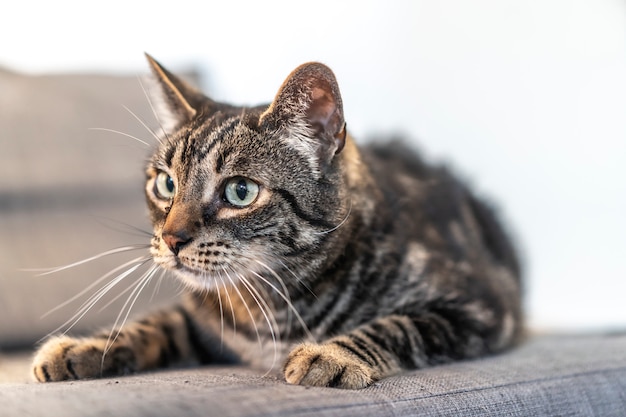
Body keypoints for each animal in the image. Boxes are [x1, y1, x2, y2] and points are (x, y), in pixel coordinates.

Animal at [33, 53, 520, 388]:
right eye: (166, 184)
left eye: (240, 191)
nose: (171, 239)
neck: (269, 304)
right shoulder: (203, 319)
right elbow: (158, 322)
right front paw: (84, 346)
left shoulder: (480, 306)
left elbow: (400, 326)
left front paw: (332, 356)